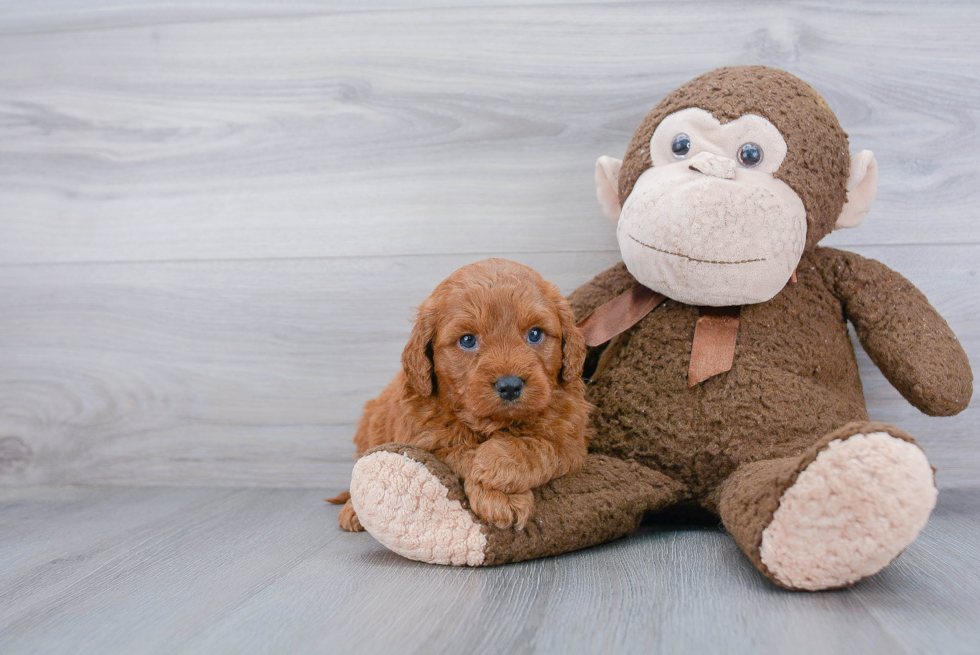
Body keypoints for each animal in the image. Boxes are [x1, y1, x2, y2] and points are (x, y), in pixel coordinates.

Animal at [334, 258, 588, 532]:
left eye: (535, 334)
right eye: (467, 340)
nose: (510, 385)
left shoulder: (570, 442)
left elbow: (536, 446)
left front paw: (496, 473)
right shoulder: (426, 442)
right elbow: (462, 454)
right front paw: (498, 495)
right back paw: (351, 511)